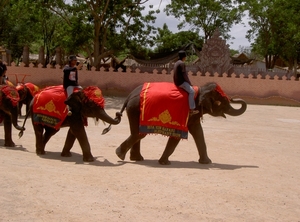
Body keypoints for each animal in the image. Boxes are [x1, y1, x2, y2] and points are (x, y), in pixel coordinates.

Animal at [115, 82, 246, 165]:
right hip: (135, 109)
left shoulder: (194, 114)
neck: (200, 89)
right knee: (139, 133)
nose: (234, 98)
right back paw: (120, 155)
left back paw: (136, 158)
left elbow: (199, 132)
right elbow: (178, 135)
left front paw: (207, 162)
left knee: (137, 133)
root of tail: (129, 96)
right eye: (221, 102)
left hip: (133, 110)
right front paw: (165, 163)